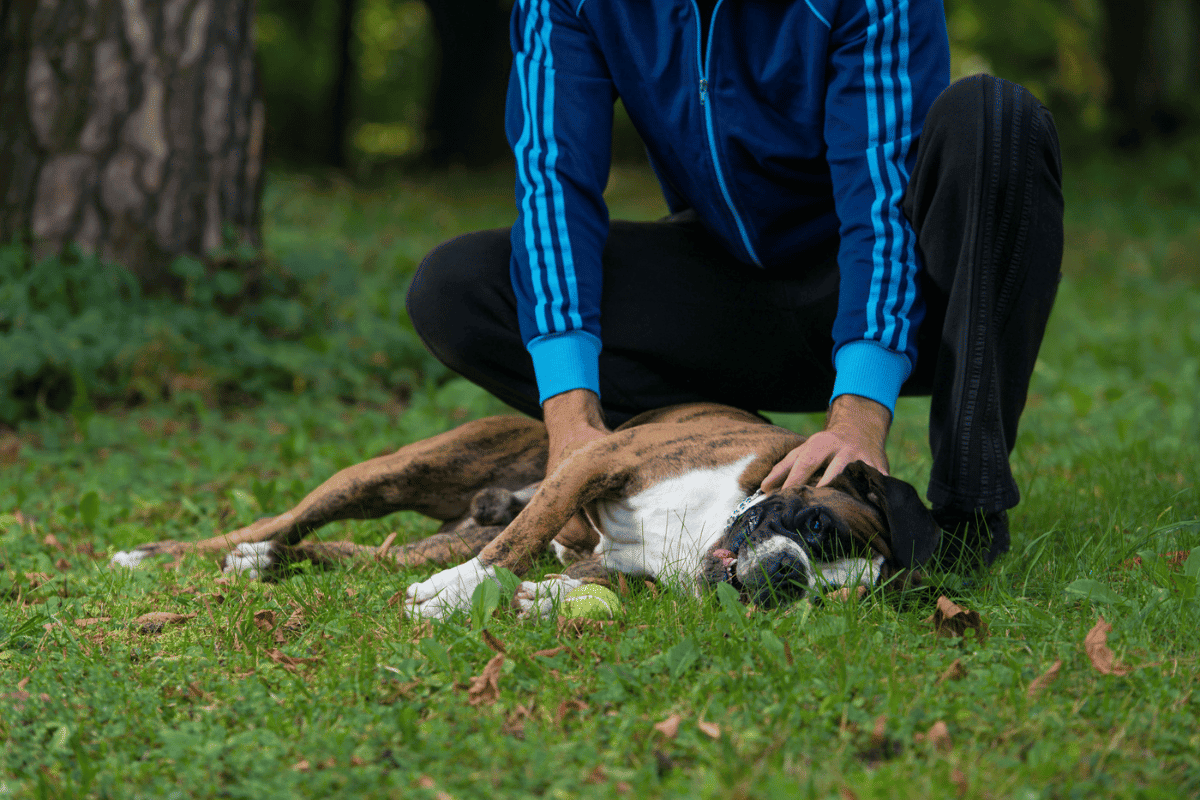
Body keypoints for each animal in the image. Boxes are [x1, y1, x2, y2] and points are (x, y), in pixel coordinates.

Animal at [112, 402, 936, 618]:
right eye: (817, 526)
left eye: (835, 597)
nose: (790, 580)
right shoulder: (596, 464)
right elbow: (518, 540)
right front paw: (452, 599)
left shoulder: (622, 570)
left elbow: (580, 582)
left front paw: (536, 601)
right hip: (385, 475)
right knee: (282, 520)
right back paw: (156, 554)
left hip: (435, 532)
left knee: (350, 551)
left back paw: (264, 564)